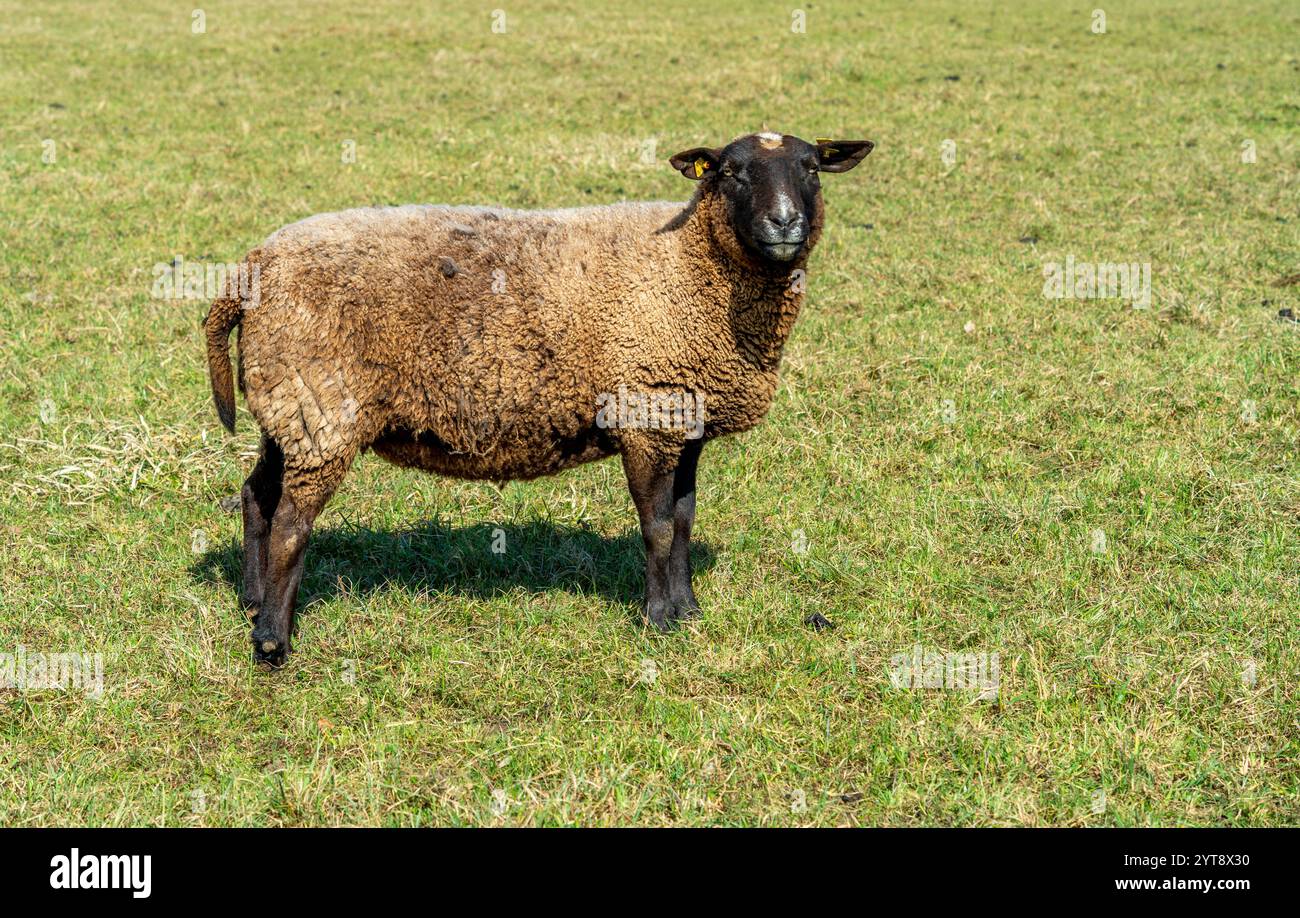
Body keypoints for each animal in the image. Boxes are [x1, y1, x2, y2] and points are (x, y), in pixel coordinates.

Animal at [205, 128, 873, 660]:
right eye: (731, 172)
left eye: (812, 168)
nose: (784, 223)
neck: (690, 264)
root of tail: (250, 270)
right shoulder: (645, 411)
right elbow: (657, 526)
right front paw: (659, 621)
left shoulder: (684, 418)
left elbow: (683, 520)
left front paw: (687, 610)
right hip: (321, 405)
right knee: (292, 523)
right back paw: (272, 640)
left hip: (288, 404)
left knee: (257, 497)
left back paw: (252, 600)